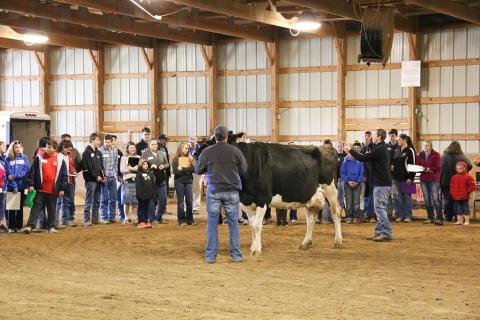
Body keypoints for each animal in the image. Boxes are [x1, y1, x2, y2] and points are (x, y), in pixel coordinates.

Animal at [196, 135, 344, 255]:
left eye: (215, 141)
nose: (196, 153)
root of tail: (327, 148)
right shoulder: (246, 201)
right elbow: (252, 224)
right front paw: (253, 246)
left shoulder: (262, 199)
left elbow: (257, 225)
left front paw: (256, 249)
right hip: (309, 194)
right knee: (311, 218)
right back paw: (305, 243)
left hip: (331, 189)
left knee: (335, 212)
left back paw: (338, 241)